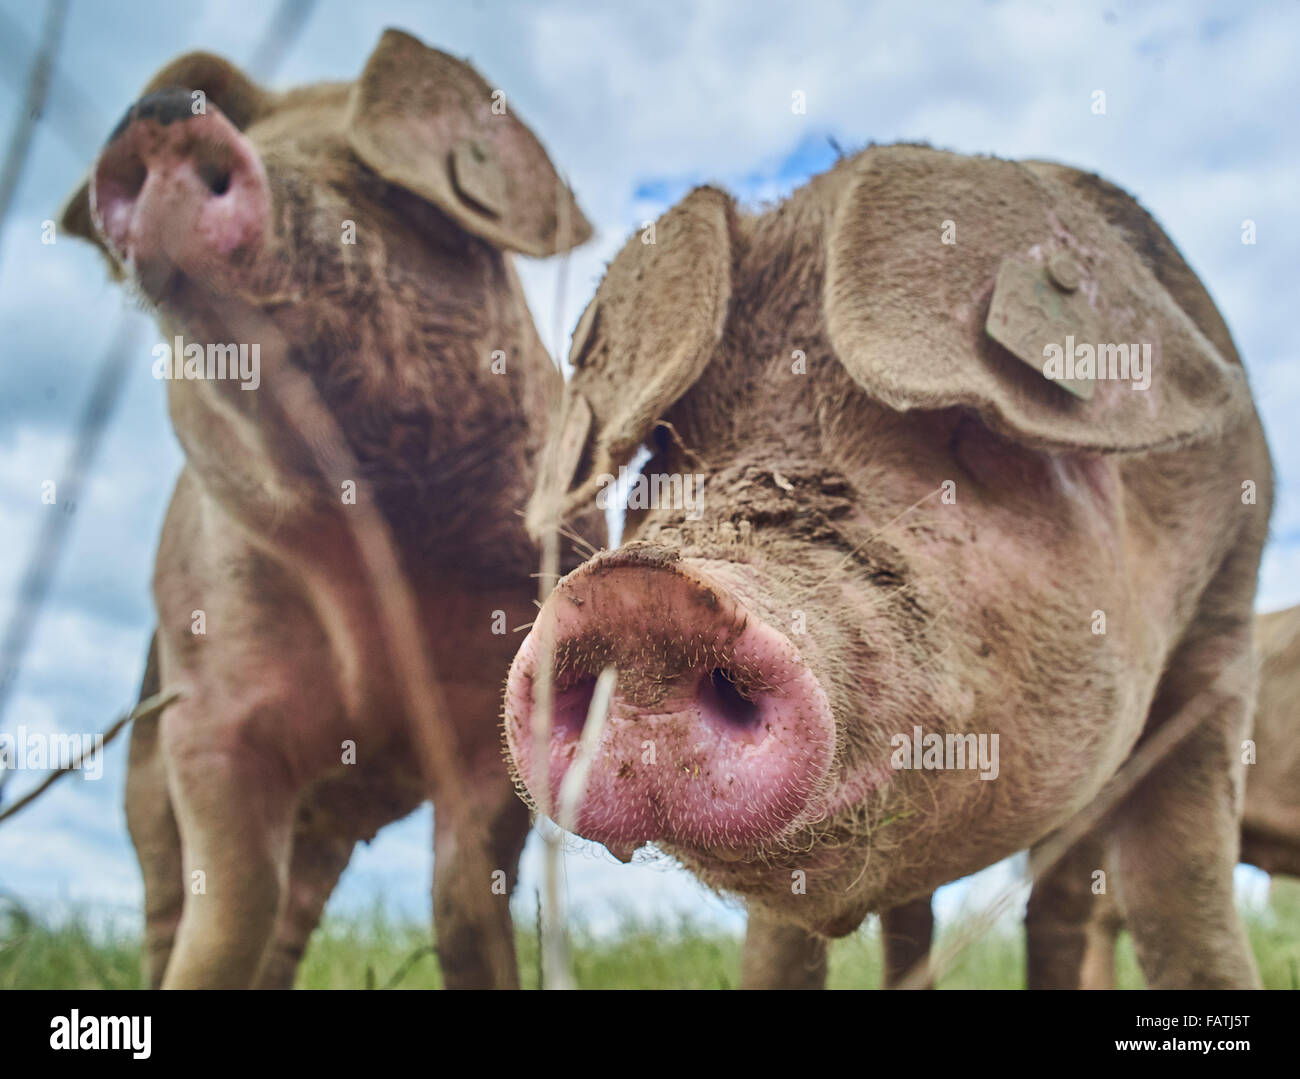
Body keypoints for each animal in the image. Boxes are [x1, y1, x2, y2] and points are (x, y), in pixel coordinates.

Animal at [59, 27, 590, 987]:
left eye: (375, 184)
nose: (163, 112)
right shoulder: (207, 708)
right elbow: (229, 910)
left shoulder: (506, 707)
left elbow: (464, 900)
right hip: (144, 750)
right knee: (174, 897)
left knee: (297, 910)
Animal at [504, 148, 1268, 993]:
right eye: (662, 456)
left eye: (968, 433)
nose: (639, 596)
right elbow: (779, 945)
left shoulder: (1225, 612)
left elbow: (1181, 885)